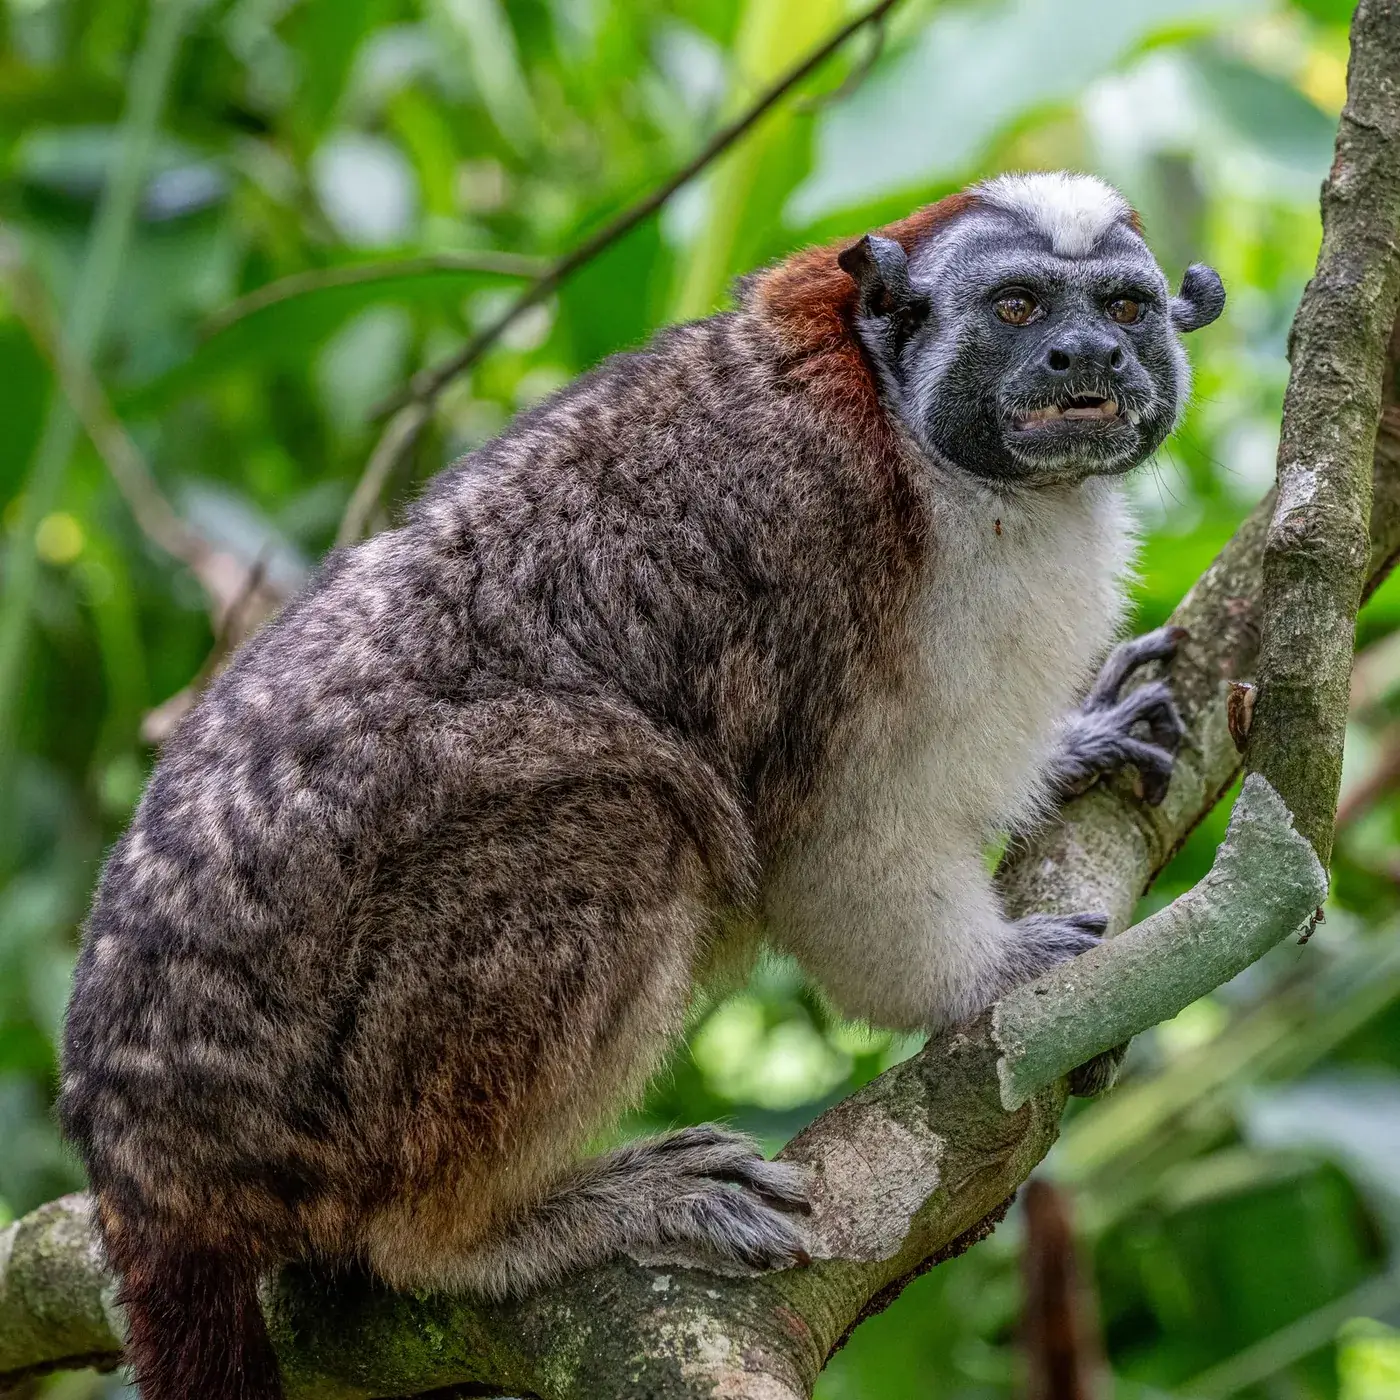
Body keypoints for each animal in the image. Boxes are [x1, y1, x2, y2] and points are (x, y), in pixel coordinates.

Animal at [59, 170, 1223, 1400]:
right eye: (1015, 308)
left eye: (1122, 308)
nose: (1085, 355)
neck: (902, 424)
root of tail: (146, 1158)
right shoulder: (843, 547)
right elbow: (836, 841)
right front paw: (989, 976)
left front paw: (1078, 742)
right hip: (324, 1115)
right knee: (626, 813)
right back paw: (481, 1231)